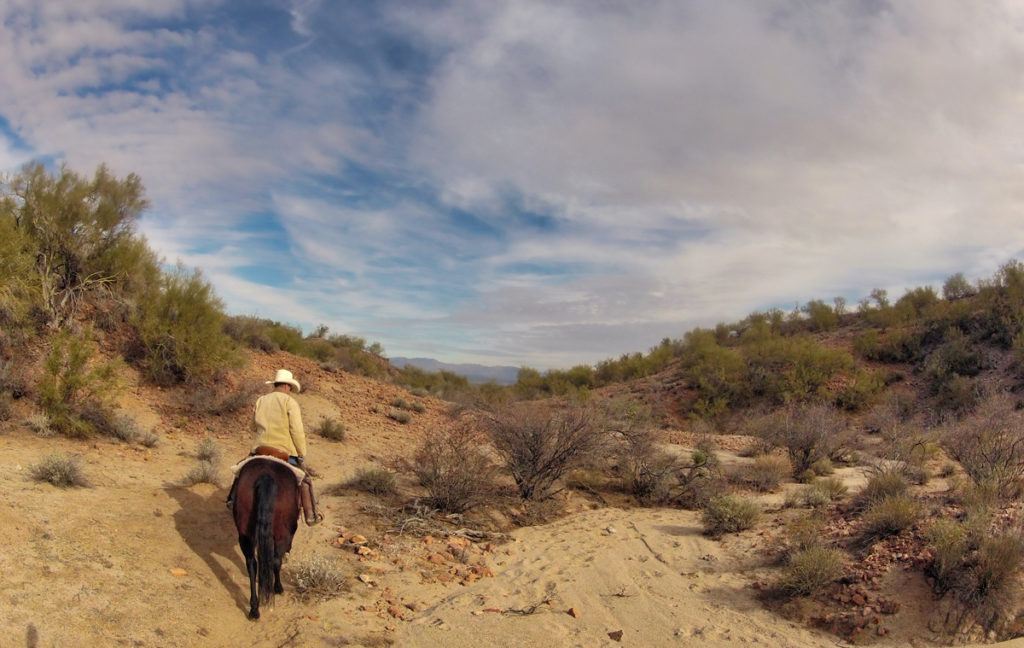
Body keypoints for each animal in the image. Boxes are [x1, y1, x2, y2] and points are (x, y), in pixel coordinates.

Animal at [230, 456, 299, 618]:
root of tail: (266, 477)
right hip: (281, 532)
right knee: (275, 561)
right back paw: (278, 588)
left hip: (245, 534)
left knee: (251, 564)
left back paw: (254, 608)